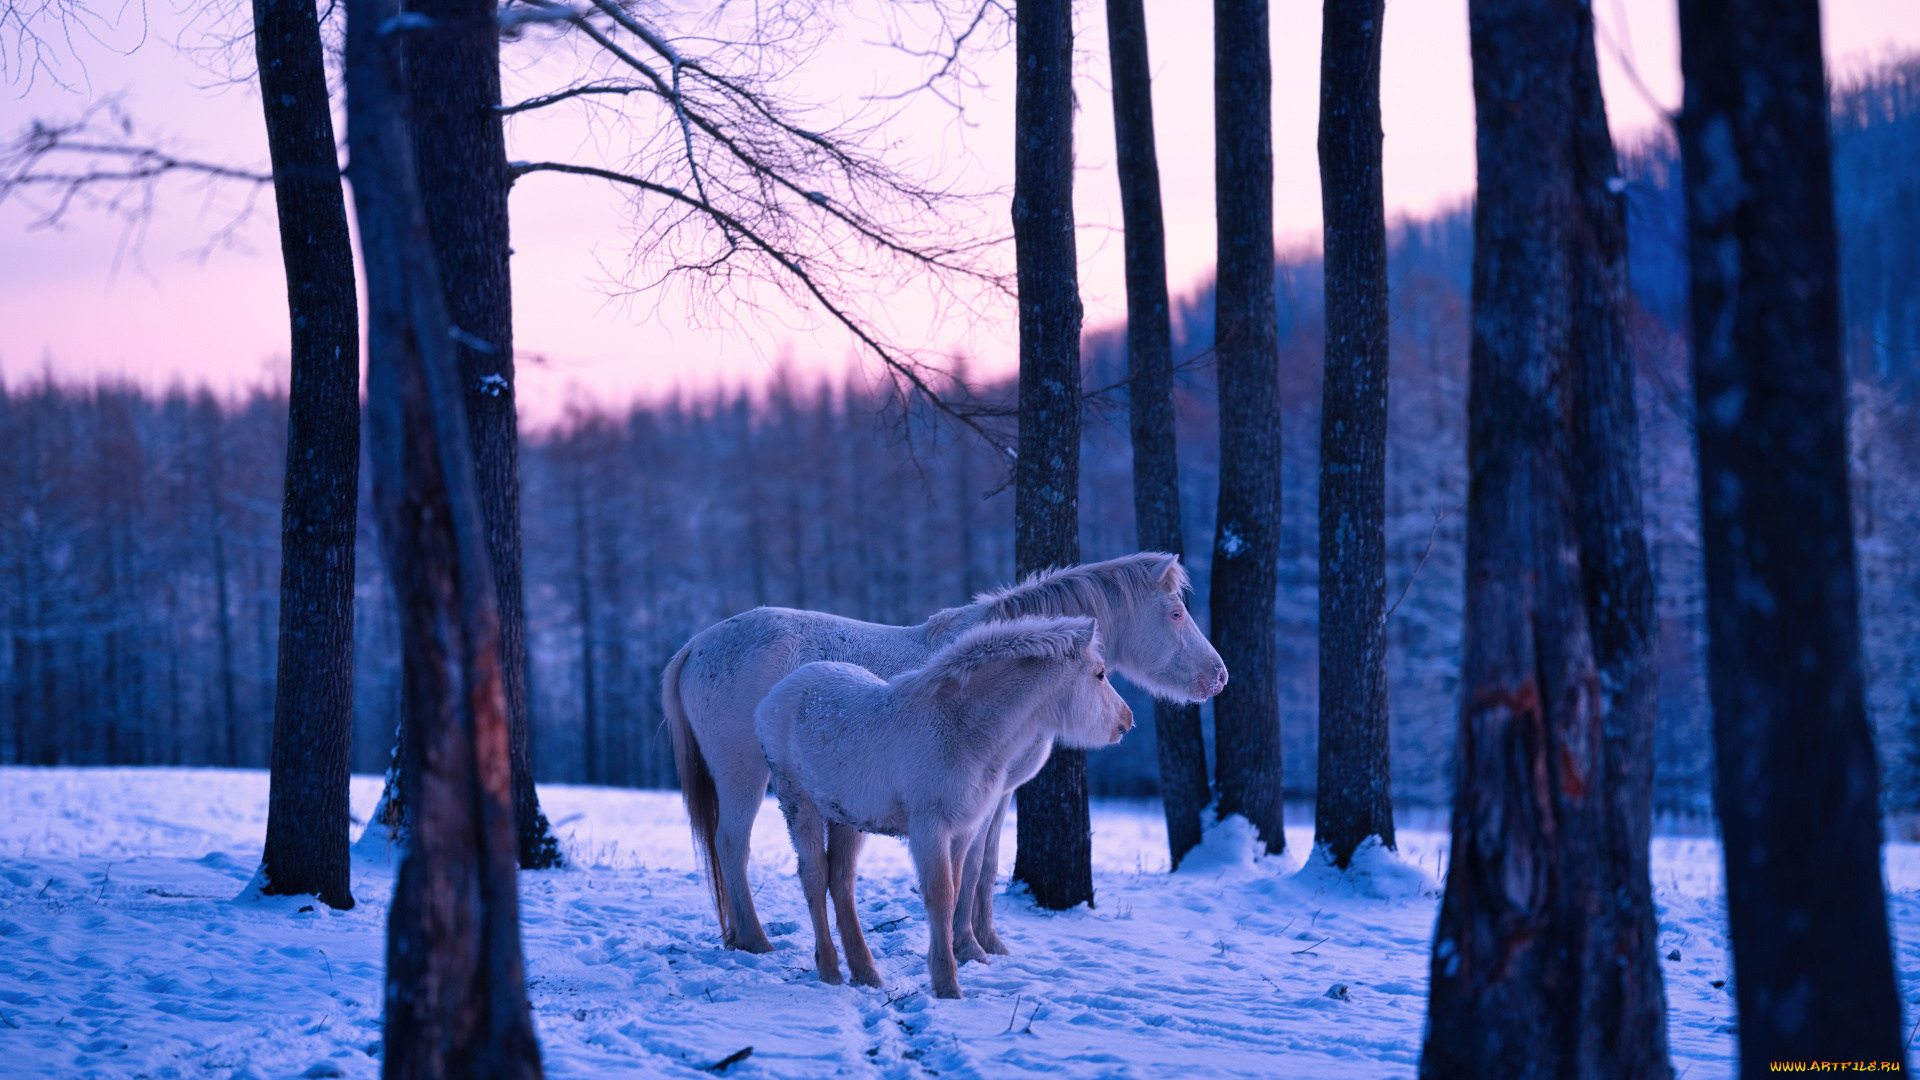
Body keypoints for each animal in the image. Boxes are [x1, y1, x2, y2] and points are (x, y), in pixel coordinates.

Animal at [660, 553, 1228, 949]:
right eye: (1176, 612)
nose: (1219, 677)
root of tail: (696, 645)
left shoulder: (999, 793)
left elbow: (987, 864)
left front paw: (987, 944)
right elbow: (970, 867)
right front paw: (966, 945)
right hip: (744, 775)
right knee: (731, 846)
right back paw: (756, 941)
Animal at [752, 614, 1136, 991]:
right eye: (1100, 674)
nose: (1127, 721)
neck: (962, 729)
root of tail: (777, 693)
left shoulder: (962, 830)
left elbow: (958, 888)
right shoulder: (929, 829)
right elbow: (941, 894)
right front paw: (947, 983)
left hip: (846, 817)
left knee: (842, 881)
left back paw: (867, 974)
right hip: (798, 803)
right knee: (815, 876)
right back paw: (830, 970)